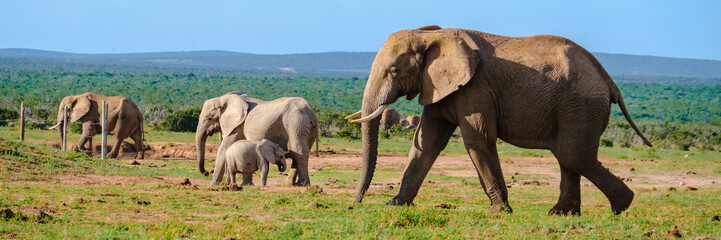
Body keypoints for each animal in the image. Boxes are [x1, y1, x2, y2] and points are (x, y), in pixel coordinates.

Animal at [344, 26, 652, 216]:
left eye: (394, 70)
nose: (354, 204)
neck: (431, 35)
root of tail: (609, 81)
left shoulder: (475, 87)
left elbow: (478, 138)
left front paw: (498, 211)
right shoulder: (439, 86)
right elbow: (427, 142)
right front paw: (395, 205)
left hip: (581, 105)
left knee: (573, 156)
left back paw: (621, 206)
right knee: (569, 157)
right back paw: (562, 214)